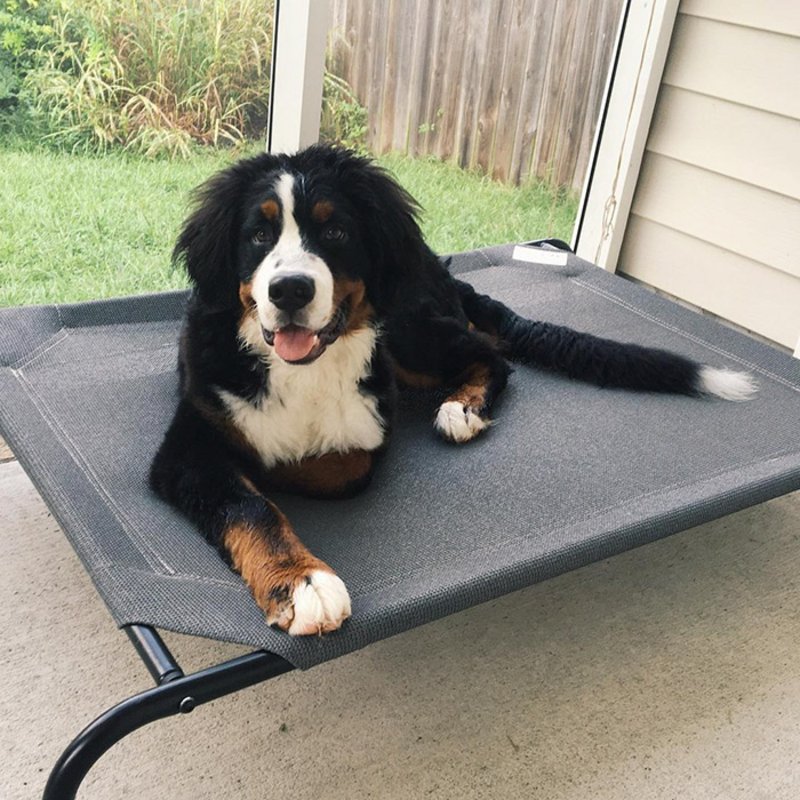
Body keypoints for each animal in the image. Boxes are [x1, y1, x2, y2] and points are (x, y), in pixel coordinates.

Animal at [150, 142, 756, 636]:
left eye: (336, 232)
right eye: (258, 234)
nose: (290, 289)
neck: (299, 370)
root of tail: (440, 268)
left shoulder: (369, 428)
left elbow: (333, 468)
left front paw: (297, 558)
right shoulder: (190, 442)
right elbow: (249, 502)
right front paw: (300, 579)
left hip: (409, 331)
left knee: (491, 356)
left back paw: (462, 408)